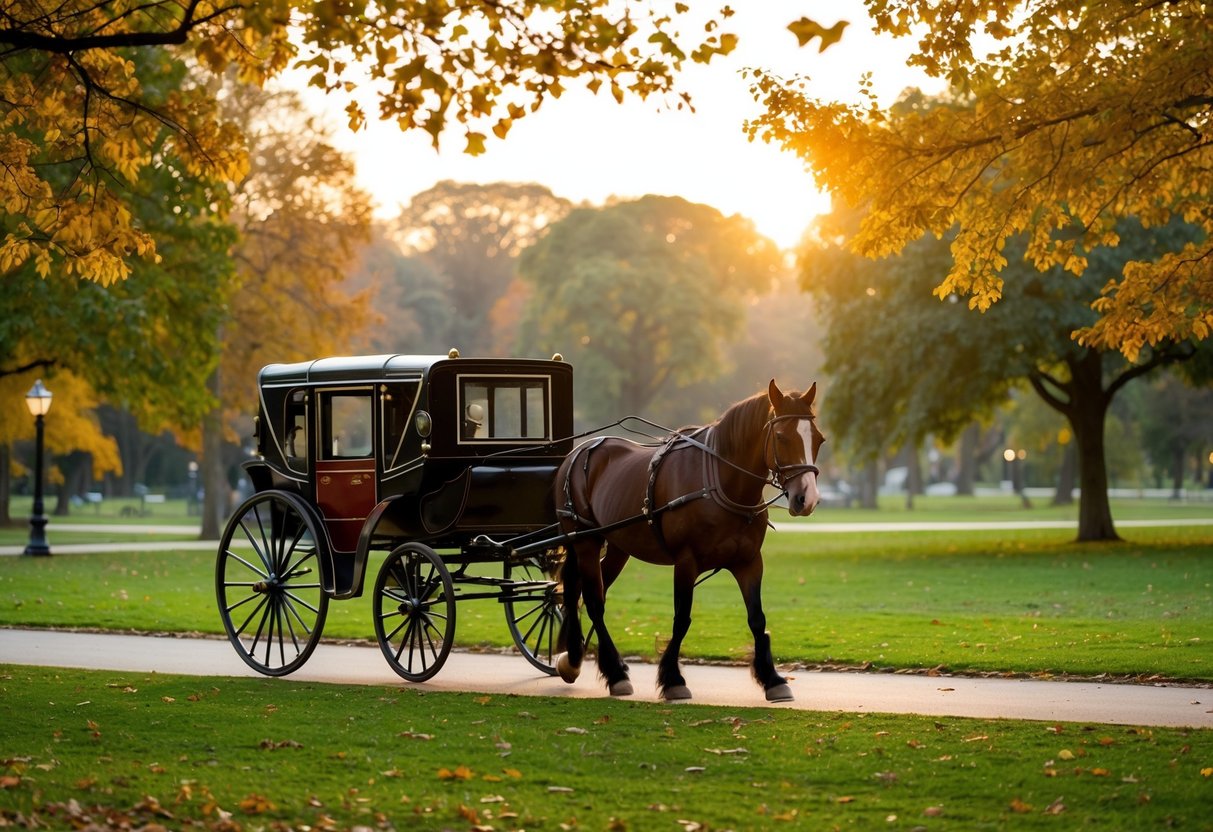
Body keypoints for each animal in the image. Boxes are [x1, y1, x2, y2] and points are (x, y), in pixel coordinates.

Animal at [552, 379, 824, 702]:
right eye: (781, 437)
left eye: (818, 439)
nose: (806, 498)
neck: (721, 482)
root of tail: (579, 451)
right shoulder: (686, 561)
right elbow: (682, 619)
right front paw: (672, 679)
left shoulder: (749, 562)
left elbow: (757, 619)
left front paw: (772, 678)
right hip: (586, 542)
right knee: (594, 601)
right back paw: (613, 672)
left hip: (617, 546)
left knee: (581, 590)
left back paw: (578, 657)